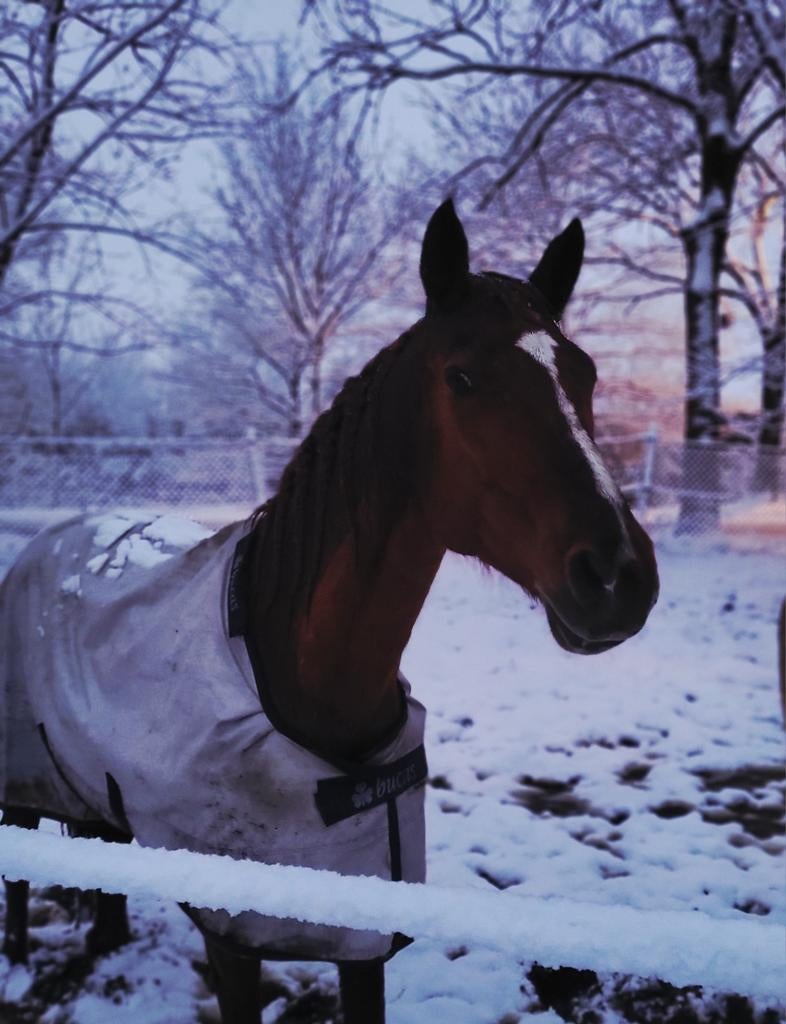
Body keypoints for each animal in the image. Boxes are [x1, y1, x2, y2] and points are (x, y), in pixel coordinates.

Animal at [0, 200, 659, 1023]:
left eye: (585, 374)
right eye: (462, 377)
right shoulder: (234, 941)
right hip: (20, 785)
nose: (619, 576)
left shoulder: (362, 937)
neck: (288, 667)